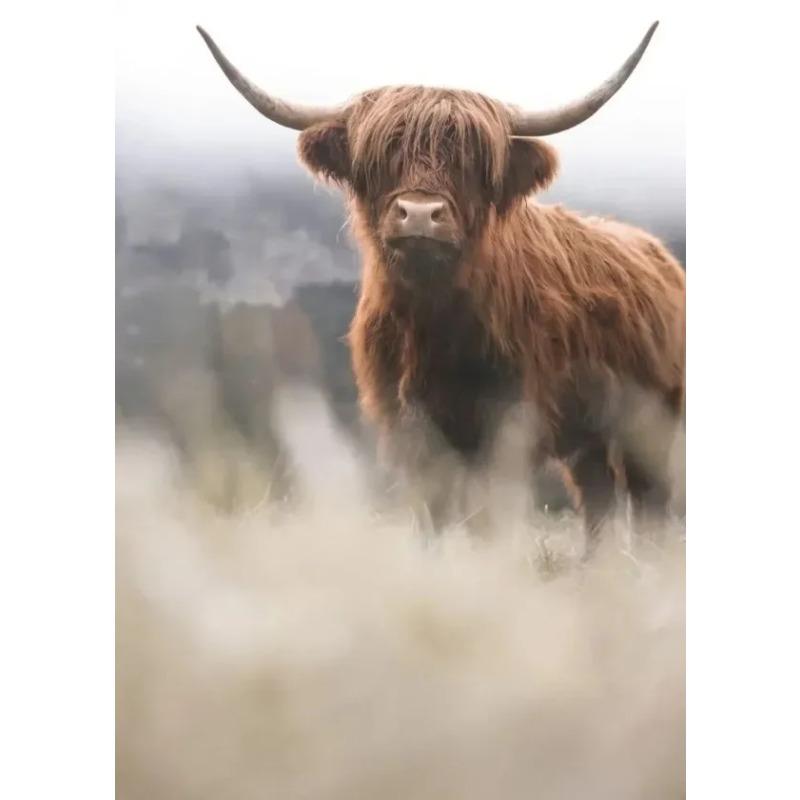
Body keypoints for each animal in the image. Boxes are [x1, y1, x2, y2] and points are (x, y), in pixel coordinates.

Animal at [197, 22, 685, 554]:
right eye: (382, 156)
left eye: (471, 162)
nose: (419, 214)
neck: (433, 326)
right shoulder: (410, 426)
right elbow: (431, 513)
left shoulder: (506, 423)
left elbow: (486, 516)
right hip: (588, 434)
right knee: (597, 494)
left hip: (653, 420)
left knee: (647, 499)